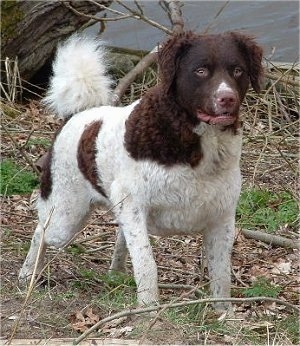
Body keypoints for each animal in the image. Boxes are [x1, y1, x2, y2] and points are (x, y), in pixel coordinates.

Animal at [18, 32, 262, 312]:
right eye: (200, 70)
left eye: (237, 70)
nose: (227, 98)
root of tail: (78, 115)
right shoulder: (134, 205)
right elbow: (147, 264)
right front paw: (148, 307)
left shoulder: (221, 217)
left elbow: (221, 274)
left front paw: (224, 314)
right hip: (66, 215)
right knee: (41, 232)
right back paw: (27, 274)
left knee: (119, 237)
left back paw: (115, 275)